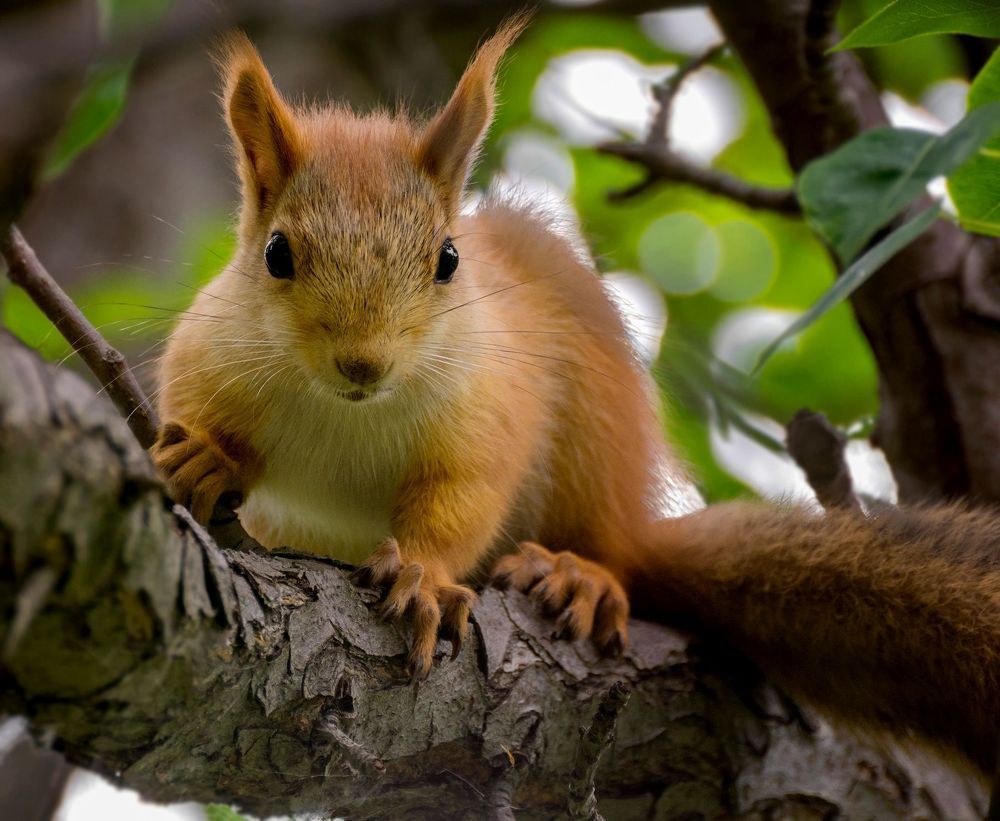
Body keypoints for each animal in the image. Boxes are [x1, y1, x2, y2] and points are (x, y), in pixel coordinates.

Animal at [152, 17, 999, 786]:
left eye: (448, 259)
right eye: (276, 254)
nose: (363, 362)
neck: (347, 412)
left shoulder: (489, 414)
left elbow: (461, 502)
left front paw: (423, 575)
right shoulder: (208, 357)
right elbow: (206, 422)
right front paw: (205, 457)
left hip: (593, 451)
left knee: (612, 553)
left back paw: (579, 575)